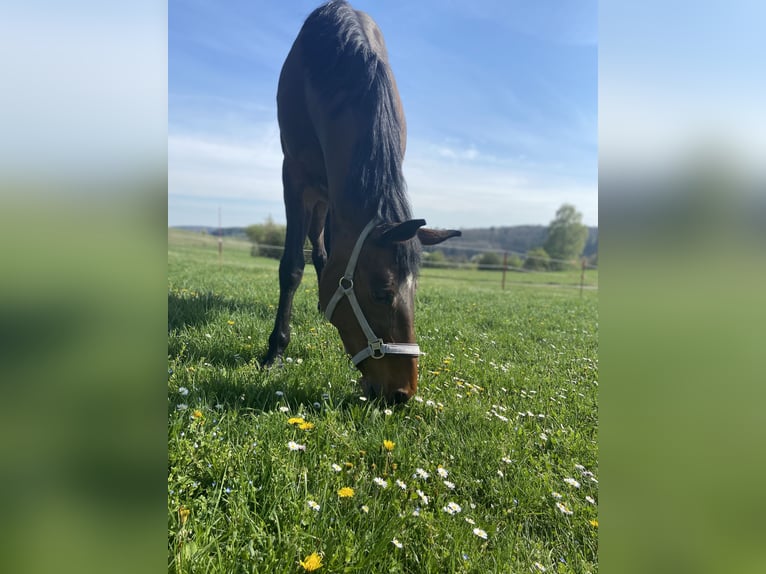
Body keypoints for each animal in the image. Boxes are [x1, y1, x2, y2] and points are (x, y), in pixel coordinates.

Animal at [264, 0, 460, 404]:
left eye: (415, 291)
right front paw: (274, 351)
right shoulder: (294, 176)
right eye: (382, 293)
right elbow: (291, 267)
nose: (402, 393)